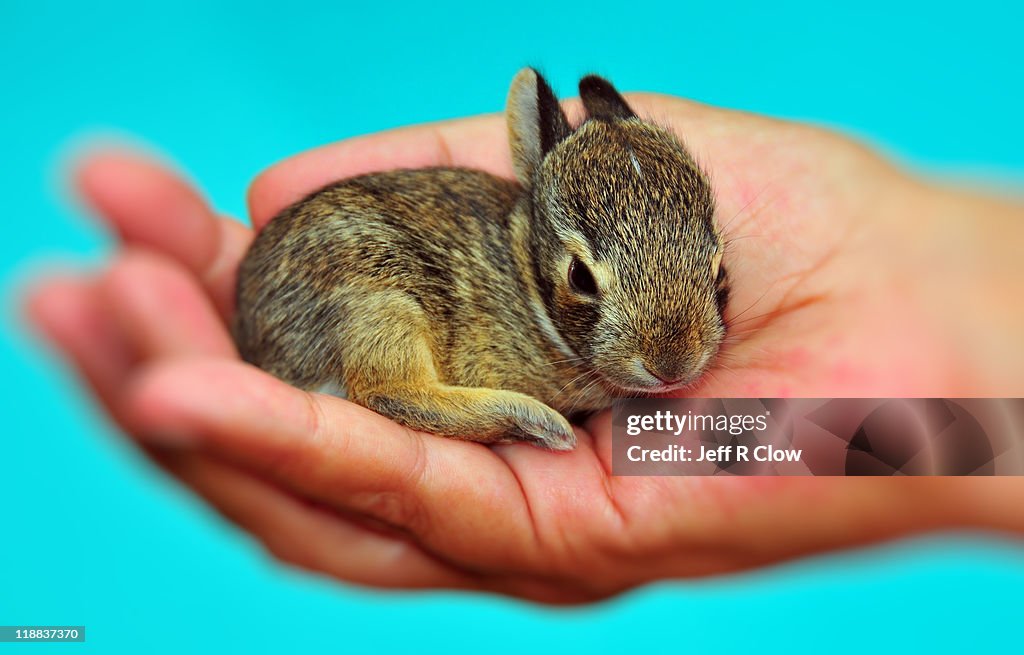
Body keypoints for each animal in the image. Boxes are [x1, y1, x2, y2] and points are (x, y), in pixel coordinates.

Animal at [232, 68, 729, 451]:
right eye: (580, 277)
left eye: (718, 265)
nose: (671, 366)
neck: (525, 275)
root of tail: (253, 338)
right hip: (378, 291)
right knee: (388, 391)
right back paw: (536, 424)